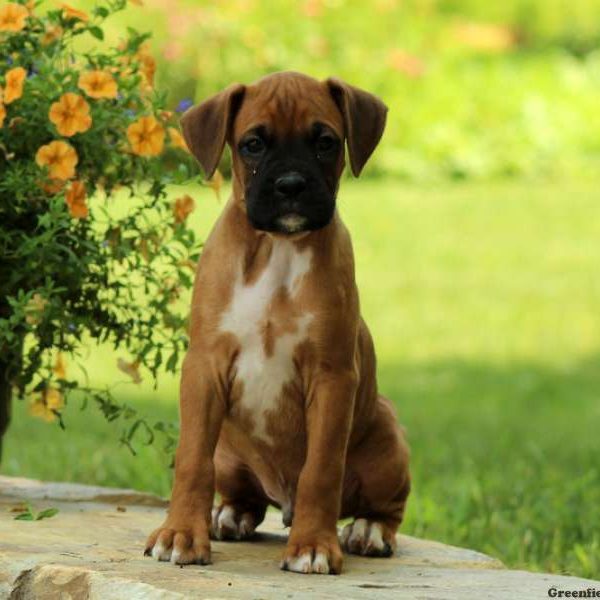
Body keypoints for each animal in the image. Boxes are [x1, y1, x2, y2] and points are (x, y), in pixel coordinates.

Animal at [144, 71, 412, 576]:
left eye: (325, 142)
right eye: (252, 144)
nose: (290, 185)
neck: (277, 249)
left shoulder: (331, 377)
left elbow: (321, 470)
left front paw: (313, 545)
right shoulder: (204, 368)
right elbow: (191, 460)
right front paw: (180, 534)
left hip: (388, 438)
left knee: (385, 506)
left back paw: (368, 530)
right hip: (229, 451)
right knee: (241, 492)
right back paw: (229, 514)